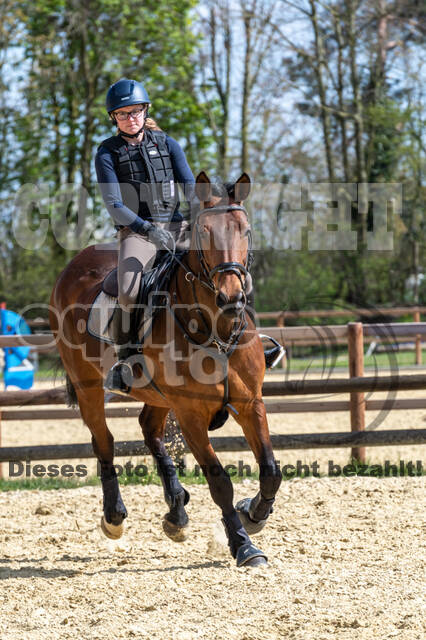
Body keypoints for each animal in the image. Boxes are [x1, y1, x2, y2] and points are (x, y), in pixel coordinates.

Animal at [50, 170, 282, 564]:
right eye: (204, 232)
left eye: (246, 230)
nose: (232, 298)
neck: (215, 329)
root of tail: (71, 268)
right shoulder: (189, 413)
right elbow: (219, 482)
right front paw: (244, 545)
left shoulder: (251, 402)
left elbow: (270, 471)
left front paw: (253, 516)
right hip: (88, 387)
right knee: (104, 441)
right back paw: (114, 517)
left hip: (158, 396)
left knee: (150, 430)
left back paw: (177, 511)